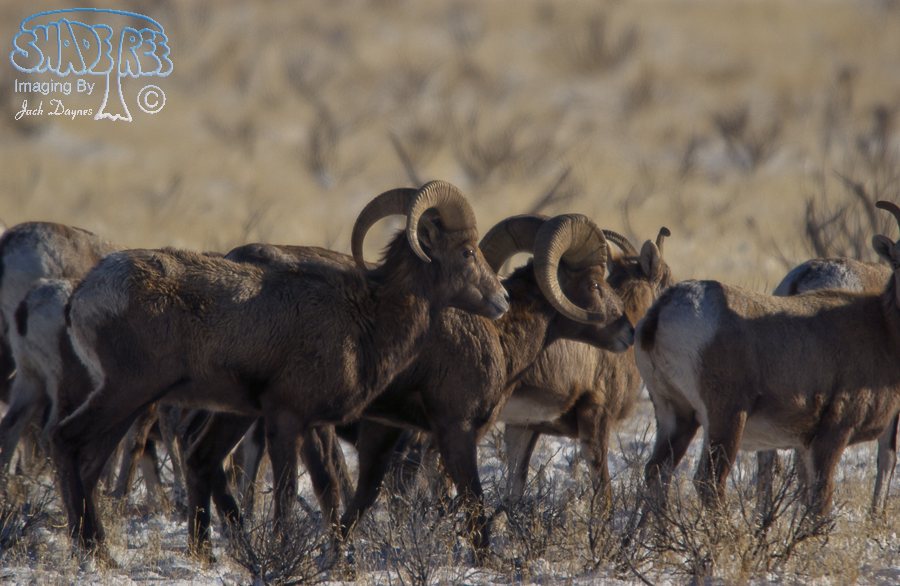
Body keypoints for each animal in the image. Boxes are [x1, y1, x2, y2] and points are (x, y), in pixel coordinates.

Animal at [51, 181, 510, 558]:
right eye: (467, 252)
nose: (502, 300)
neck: (367, 317)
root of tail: (83, 296)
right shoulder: (286, 419)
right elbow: (288, 493)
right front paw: (284, 551)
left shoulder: (312, 424)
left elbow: (329, 488)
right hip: (126, 393)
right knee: (68, 442)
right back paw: (94, 552)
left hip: (147, 406)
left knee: (101, 463)